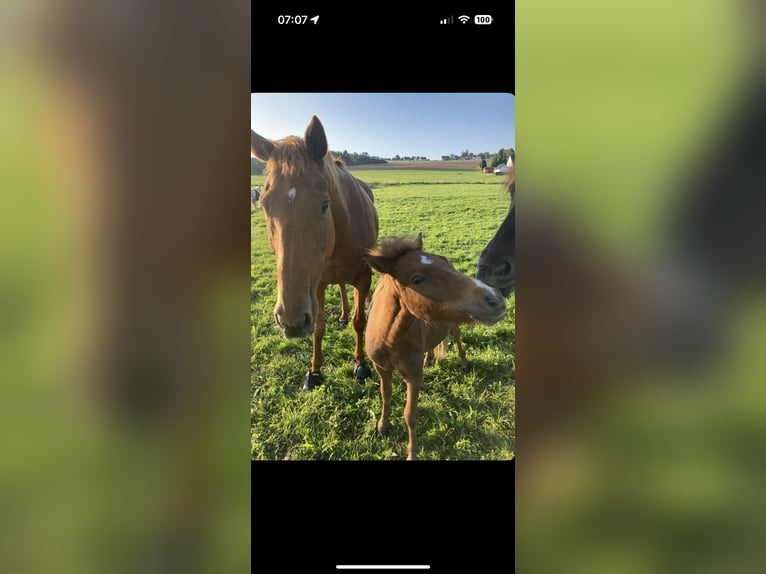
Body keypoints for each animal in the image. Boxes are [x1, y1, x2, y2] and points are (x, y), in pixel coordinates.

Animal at [250, 115, 380, 391]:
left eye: (324, 204)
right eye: (264, 205)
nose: (291, 321)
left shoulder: (363, 278)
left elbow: (359, 322)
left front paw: (361, 365)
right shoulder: (317, 284)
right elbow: (319, 327)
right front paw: (315, 370)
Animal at [364, 234, 507, 460]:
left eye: (444, 263)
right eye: (417, 279)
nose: (495, 298)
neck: (389, 338)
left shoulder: (413, 377)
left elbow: (410, 415)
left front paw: (412, 454)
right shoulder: (381, 368)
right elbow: (385, 395)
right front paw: (382, 426)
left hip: (454, 323)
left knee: (456, 336)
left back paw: (463, 361)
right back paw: (429, 359)